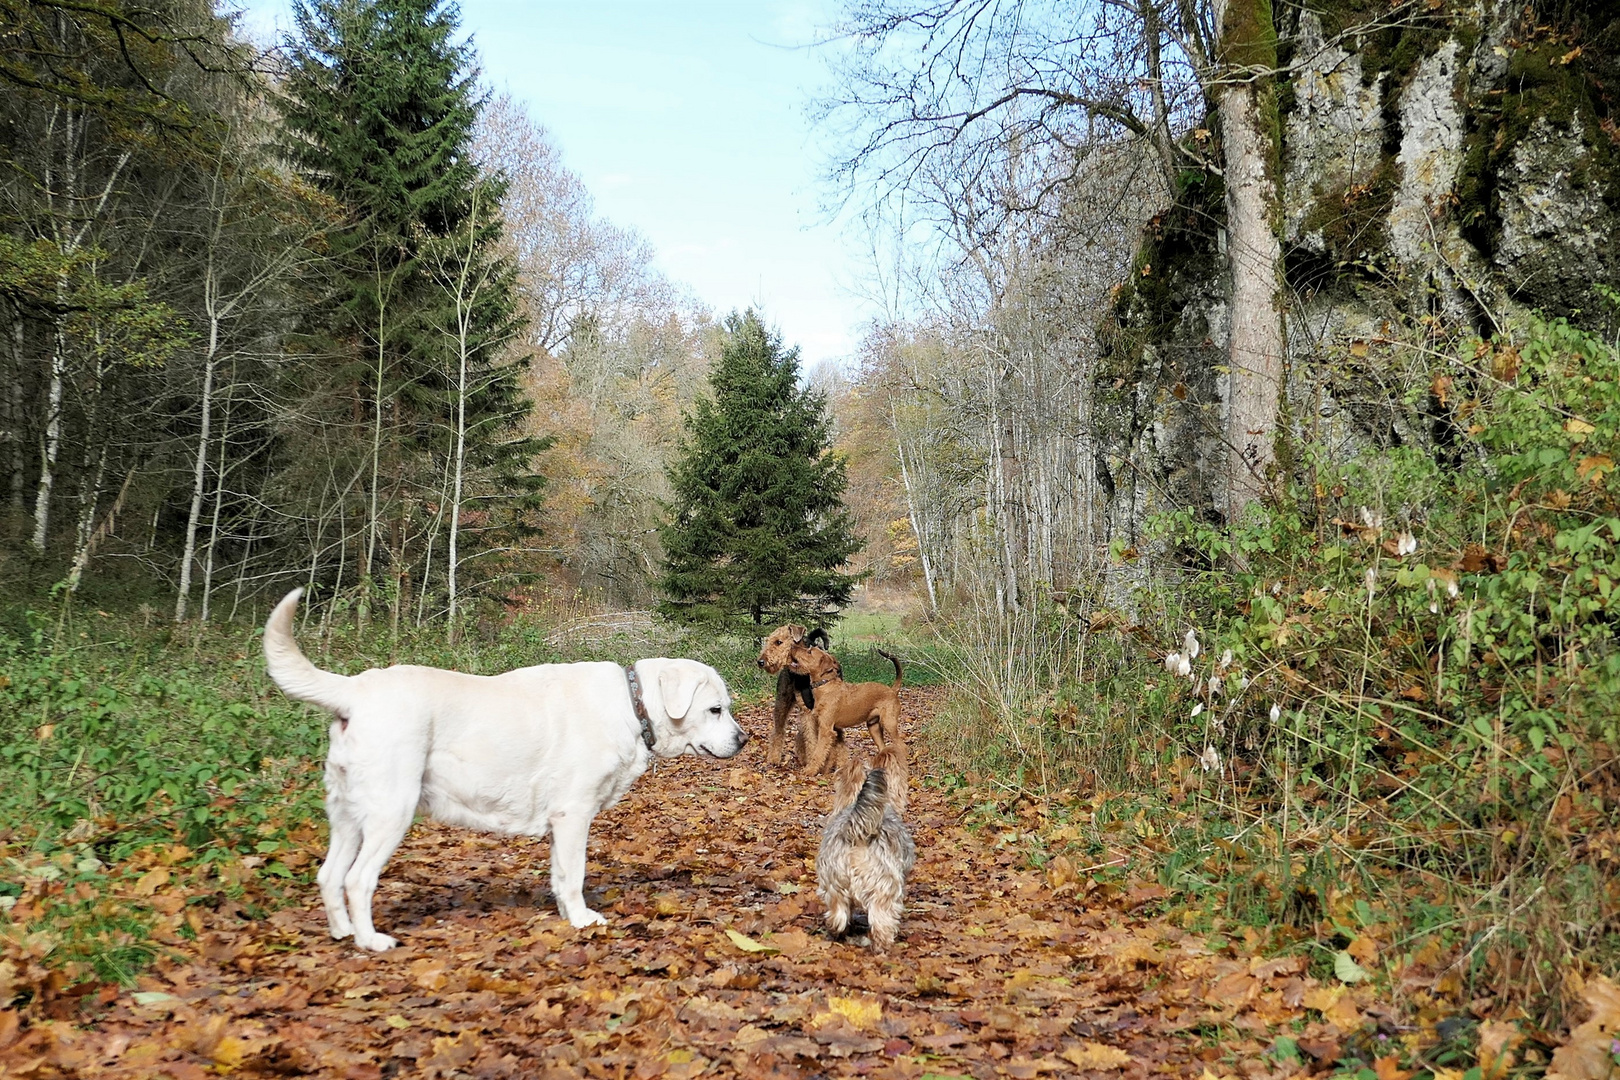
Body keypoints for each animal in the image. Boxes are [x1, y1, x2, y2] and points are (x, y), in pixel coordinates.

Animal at [262, 586, 748, 952]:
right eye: (715, 709)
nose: (744, 739)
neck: (633, 706)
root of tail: (355, 691)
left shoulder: (559, 824)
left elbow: (560, 876)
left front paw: (566, 915)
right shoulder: (573, 815)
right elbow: (575, 874)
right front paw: (583, 920)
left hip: (347, 815)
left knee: (329, 876)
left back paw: (342, 932)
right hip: (390, 812)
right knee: (357, 881)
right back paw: (370, 941)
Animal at [758, 625, 835, 767]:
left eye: (778, 642)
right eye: (768, 640)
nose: (760, 662)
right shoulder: (807, 711)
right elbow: (811, 739)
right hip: (782, 702)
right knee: (779, 731)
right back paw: (774, 758)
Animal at [780, 641, 900, 777]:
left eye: (809, 651)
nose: (791, 646)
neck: (825, 686)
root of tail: (892, 690)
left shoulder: (826, 730)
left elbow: (818, 752)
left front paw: (810, 770)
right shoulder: (833, 730)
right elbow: (829, 754)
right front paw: (826, 771)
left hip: (889, 724)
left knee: (902, 746)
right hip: (873, 728)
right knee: (883, 748)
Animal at [816, 738, 920, 952]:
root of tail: (856, 832)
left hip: (833, 880)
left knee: (837, 914)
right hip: (884, 886)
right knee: (881, 920)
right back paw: (882, 946)